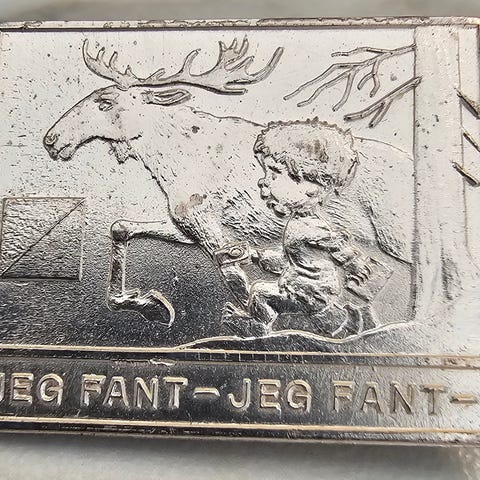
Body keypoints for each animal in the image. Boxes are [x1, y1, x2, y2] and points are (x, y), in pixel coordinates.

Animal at [43, 38, 415, 332]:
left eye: (105, 102)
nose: (52, 139)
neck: (171, 159)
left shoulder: (207, 226)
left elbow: (237, 282)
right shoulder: (186, 226)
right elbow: (120, 226)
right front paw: (150, 305)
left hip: (396, 236)